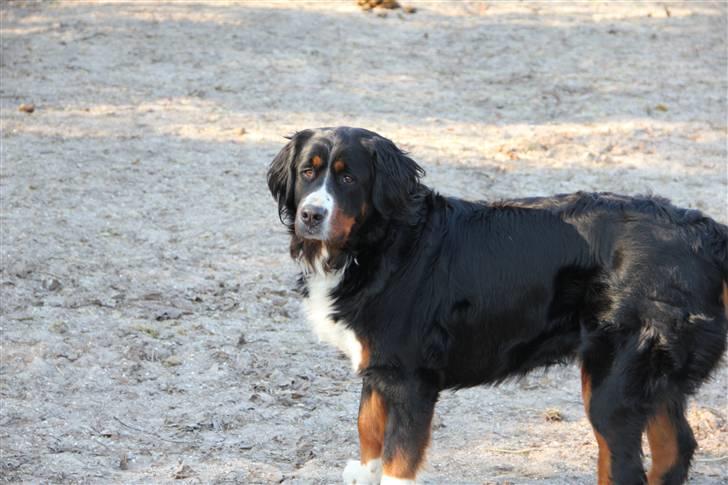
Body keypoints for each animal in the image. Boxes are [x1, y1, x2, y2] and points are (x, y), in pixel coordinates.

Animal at [268, 126, 728, 482]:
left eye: (348, 179)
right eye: (307, 172)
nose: (311, 215)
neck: (380, 245)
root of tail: (705, 233)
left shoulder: (410, 378)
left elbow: (399, 458)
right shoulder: (380, 366)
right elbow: (368, 426)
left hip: (615, 384)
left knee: (626, 464)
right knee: (674, 449)